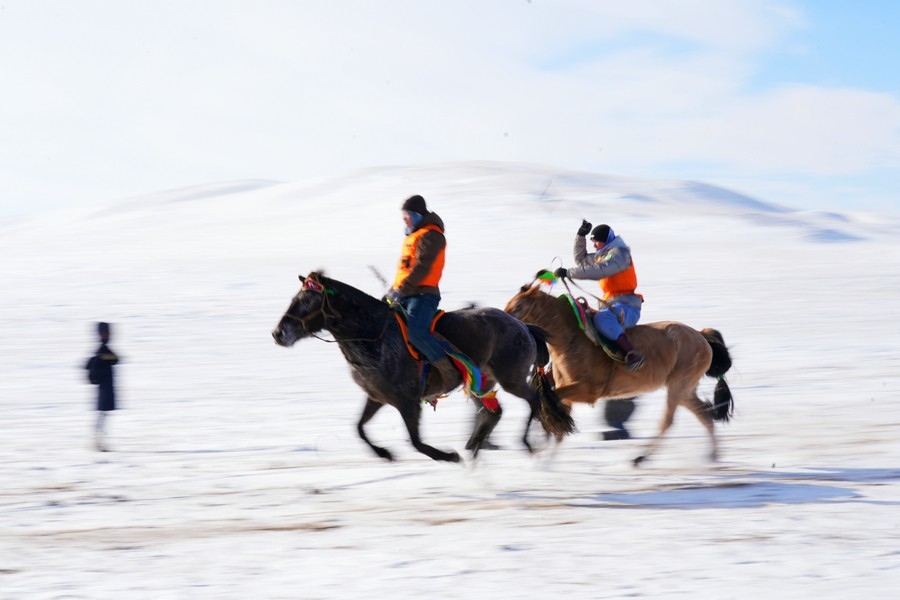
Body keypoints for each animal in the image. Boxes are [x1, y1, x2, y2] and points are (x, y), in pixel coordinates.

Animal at [272, 271, 576, 463]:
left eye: (305, 301)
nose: (278, 333)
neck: (374, 335)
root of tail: (523, 325)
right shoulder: (376, 397)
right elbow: (358, 428)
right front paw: (384, 453)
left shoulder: (407, 402)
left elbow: (416, 442)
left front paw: (448, 456)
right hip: (482, 383)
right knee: (495, 413)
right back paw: (476, 447)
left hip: (510, 379)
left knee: (533, 401)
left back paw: (526, 443)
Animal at [504, 282, 734, 465]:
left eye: (518, 307)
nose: (507, 322)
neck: (573, 340)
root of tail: (701, 336)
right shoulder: (567, 393)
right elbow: (556, 420)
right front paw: (545, 461)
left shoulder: (586, 391)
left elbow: (548, 401)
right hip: (685, 390)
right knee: (704, 416)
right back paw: (712, 456)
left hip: (678, 386)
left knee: (668, 421)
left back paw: (641, 457)